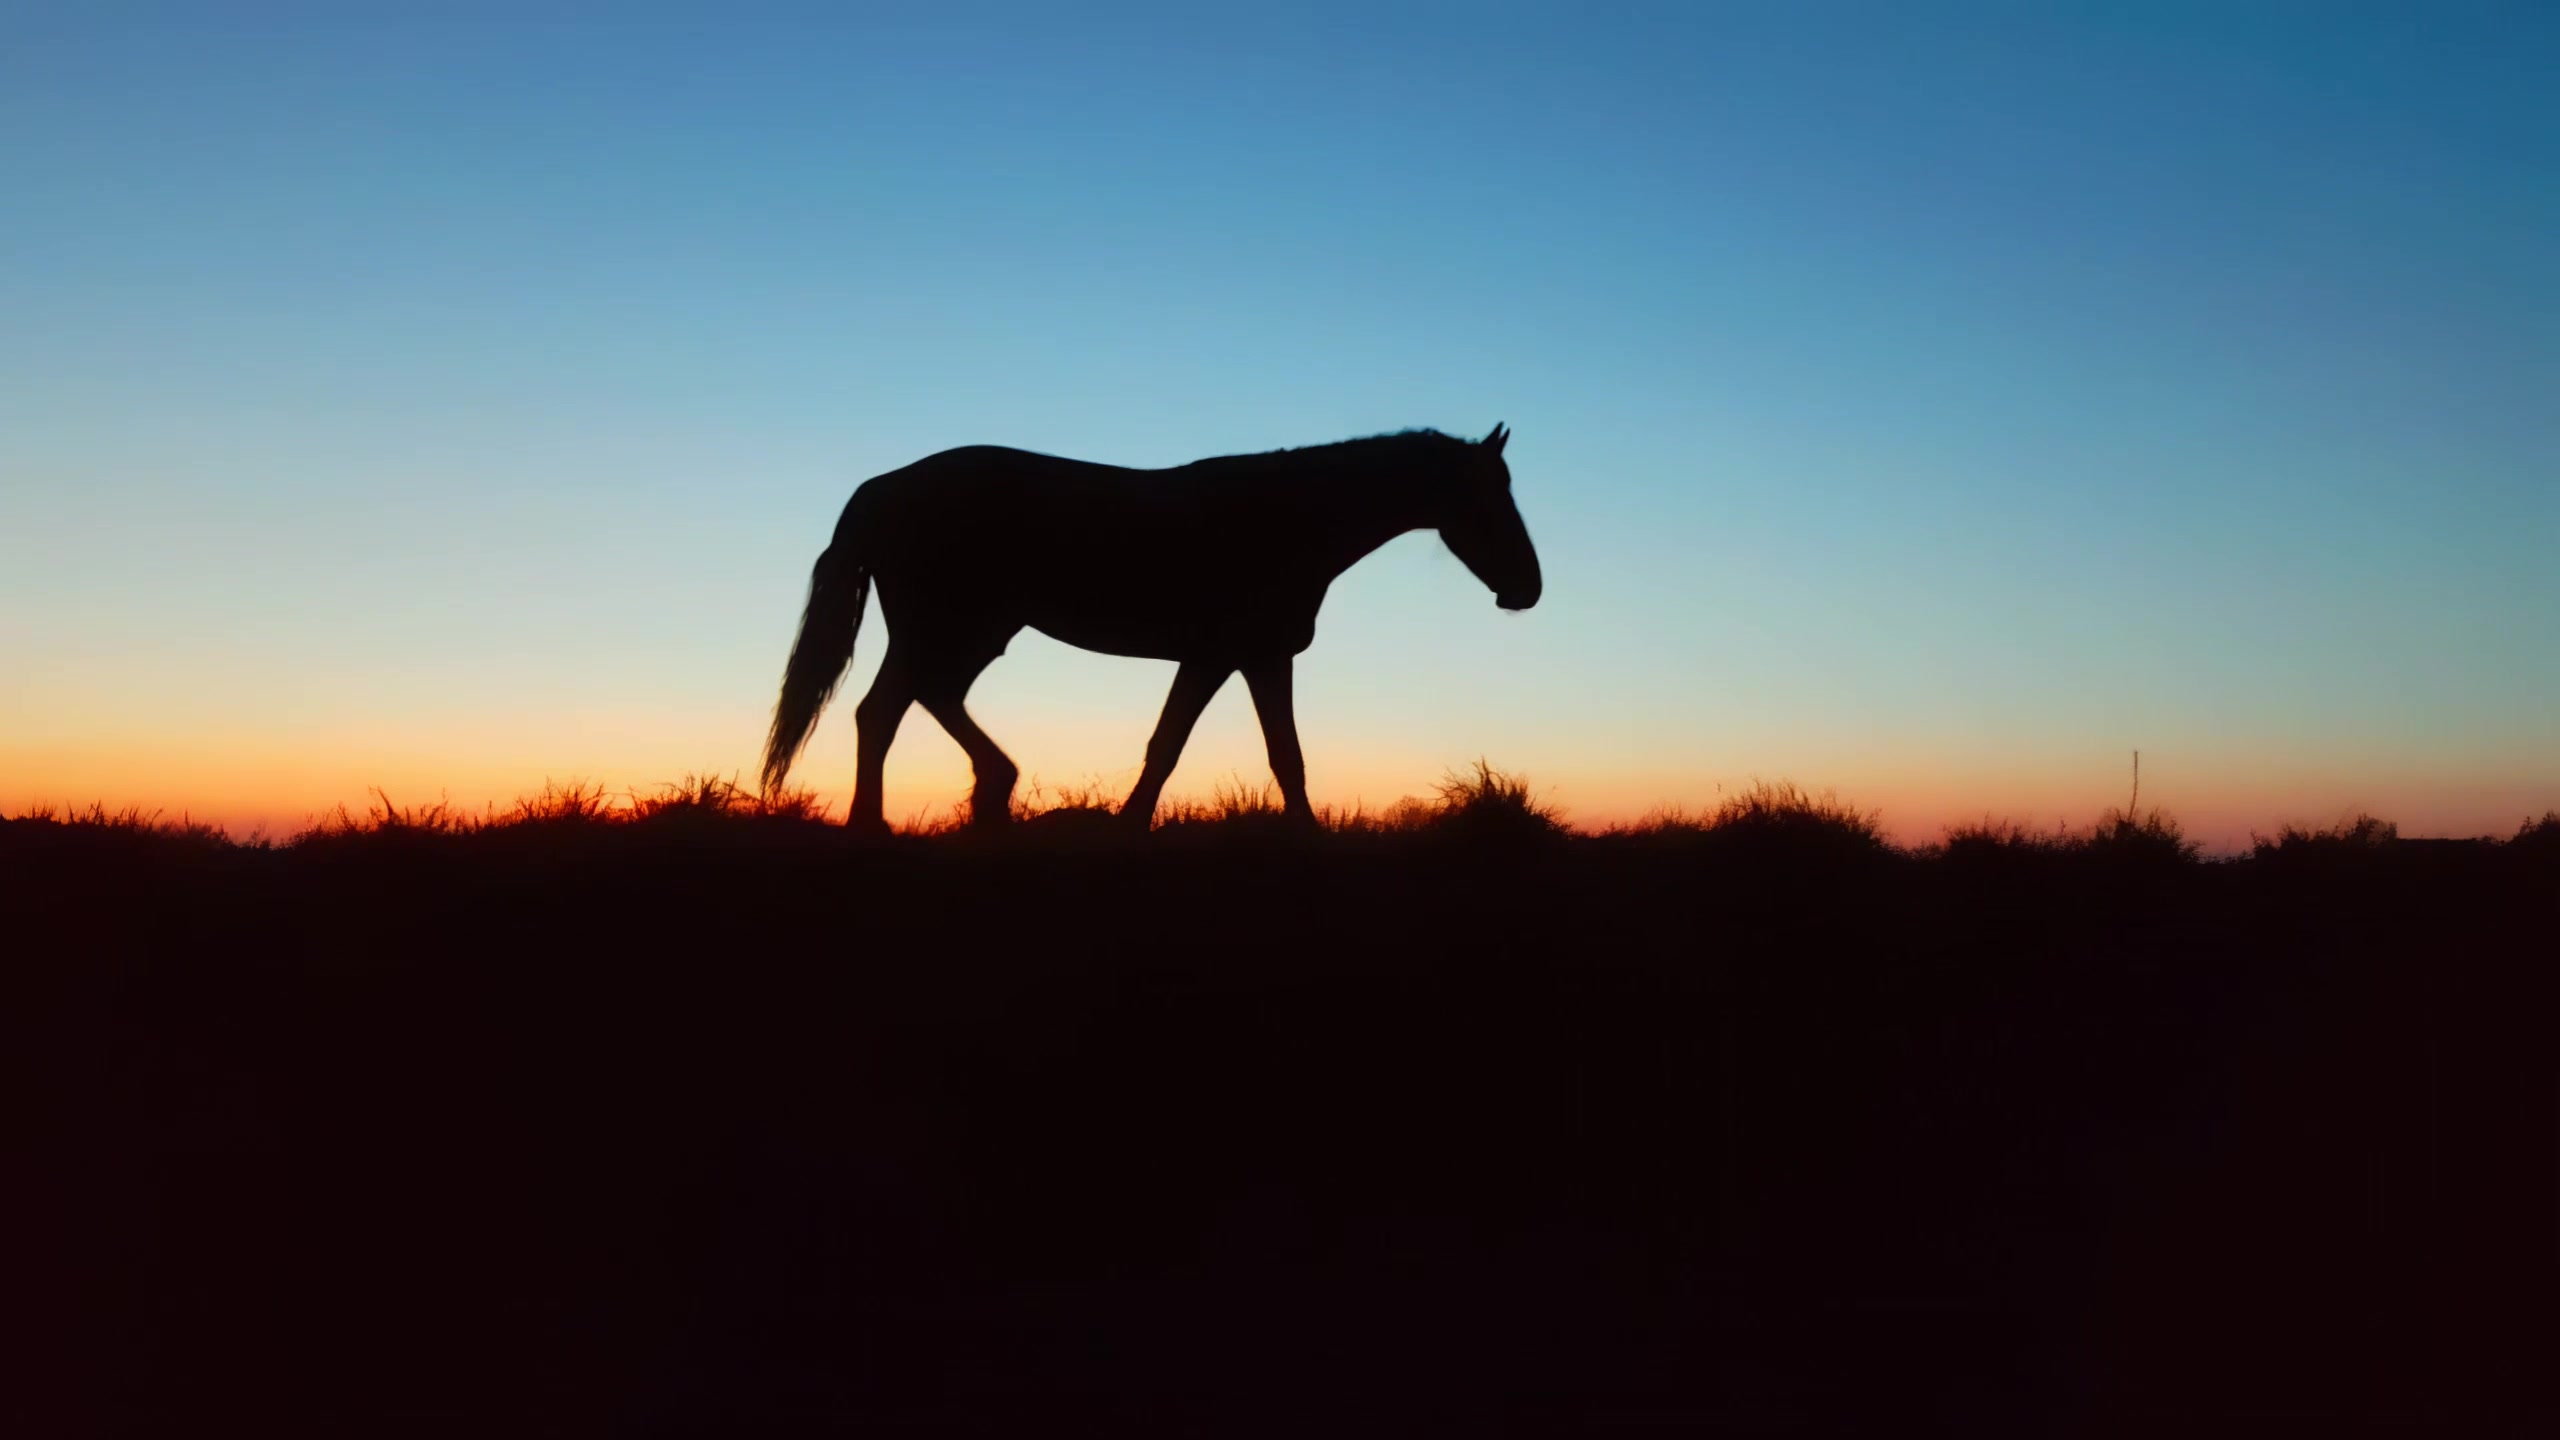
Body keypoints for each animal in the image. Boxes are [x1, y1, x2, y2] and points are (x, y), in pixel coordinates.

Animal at [757, 420, 1536, 825]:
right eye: (1488, 499)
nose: (1527, 589)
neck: (1288, 519)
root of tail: (881, 488)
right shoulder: (1234, 656)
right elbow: (1203, 751)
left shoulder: (1245, 658)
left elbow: (1249, 754)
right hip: (945, 628)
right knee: (886, 710)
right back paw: (877, 826)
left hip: (973, 632)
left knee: (918, 701)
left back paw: (993, 784)